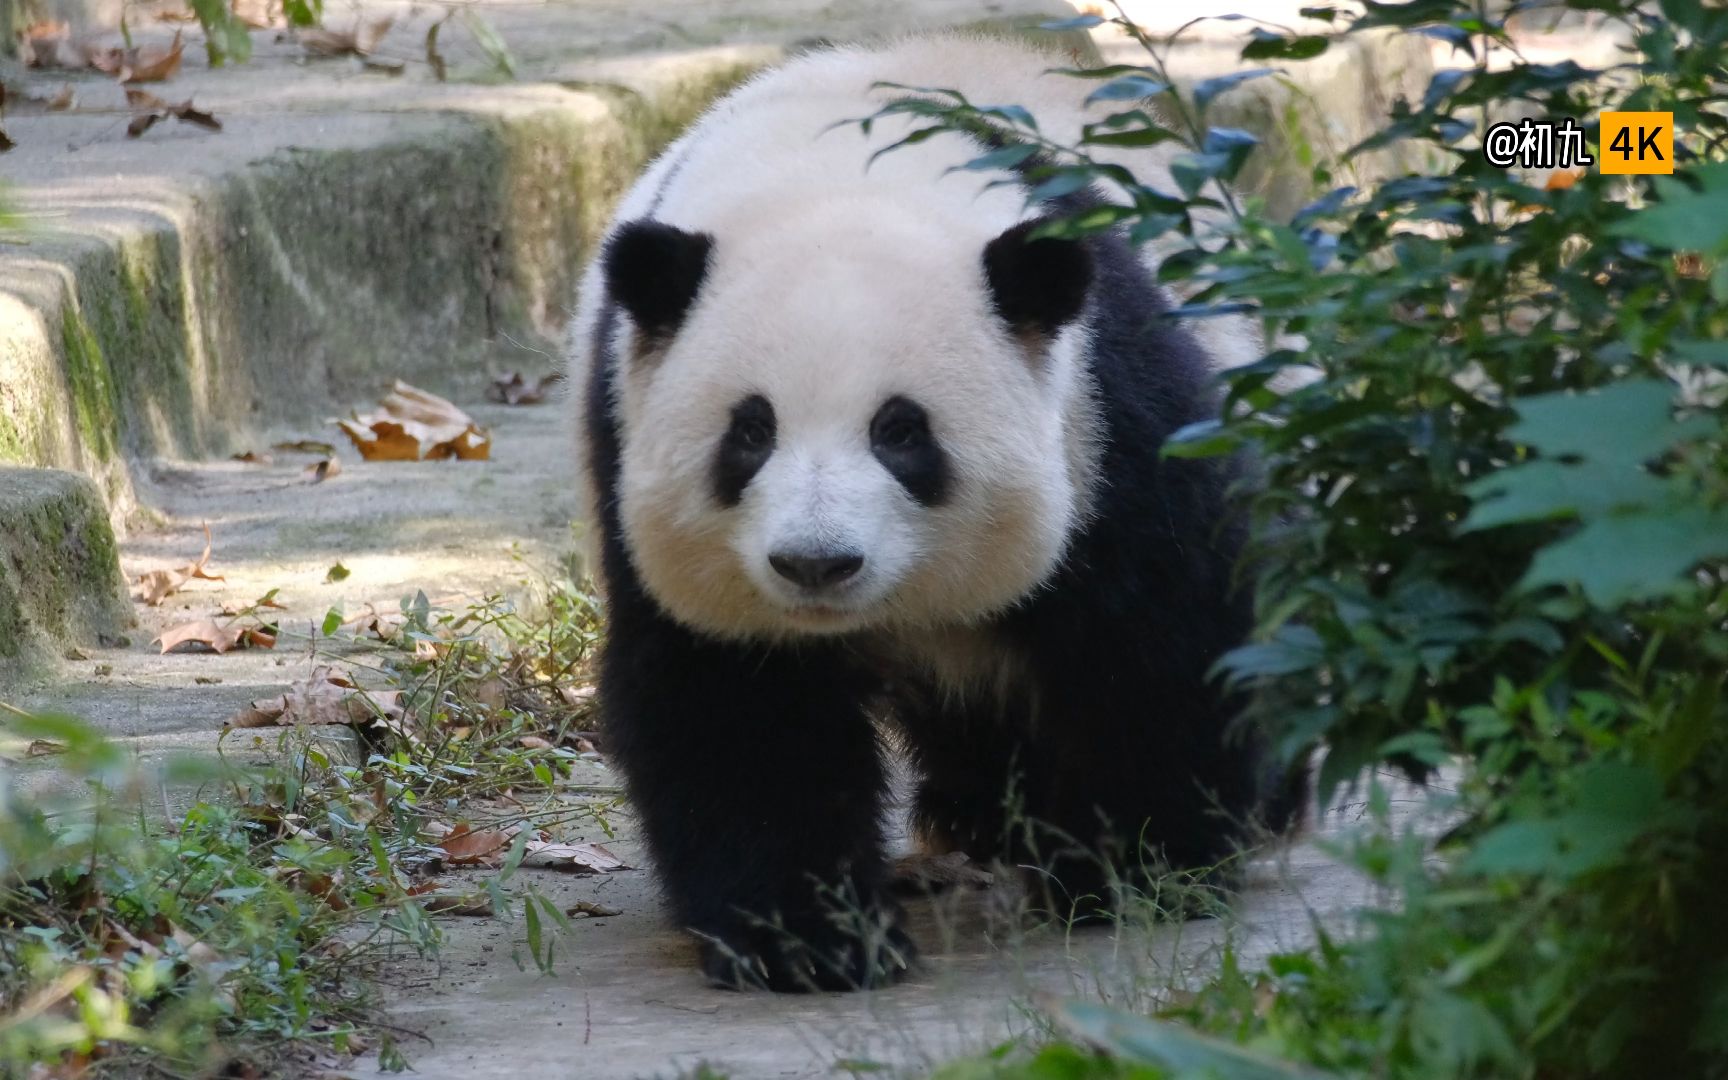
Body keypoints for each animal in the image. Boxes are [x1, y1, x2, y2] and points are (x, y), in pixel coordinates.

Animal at [566, 35, 1285, 995]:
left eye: (901, 432)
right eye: (750, 432)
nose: (816, 563)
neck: (833, 172)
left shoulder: (1108, 407)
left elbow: (1157, 632)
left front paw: (1138, 867)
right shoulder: (628, 447)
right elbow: (736, 704)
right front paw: (809, 940)